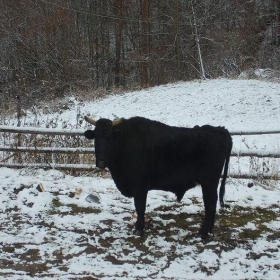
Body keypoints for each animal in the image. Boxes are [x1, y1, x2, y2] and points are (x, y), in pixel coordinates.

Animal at [84, 116, 233, 238]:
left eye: (110, 138)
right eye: (96, 137)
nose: (101, 161)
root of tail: (220, 130)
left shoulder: (140, 186)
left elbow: (140, 206)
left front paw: (139, 228)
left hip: (209, 182)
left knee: (210, 204)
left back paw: (204, 232)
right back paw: (209, 230)